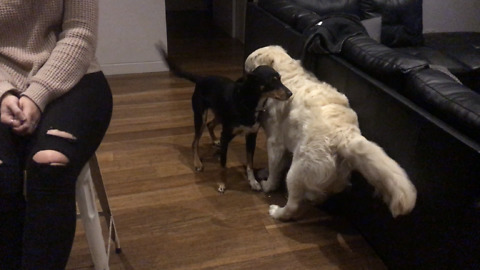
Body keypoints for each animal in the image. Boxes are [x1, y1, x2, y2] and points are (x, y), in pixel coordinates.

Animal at [159, 47, 290, 193]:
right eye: (272, 81)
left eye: (280, 79)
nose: (290, 93)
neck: (248, 102)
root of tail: (201, 79)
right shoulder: (226, 135)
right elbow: (223, 165)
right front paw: (222, 184)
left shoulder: (251, 136)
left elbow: (250, 163)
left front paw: (253, 182)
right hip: (200, 117)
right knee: (195, 141)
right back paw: (197, 162)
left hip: (219, 114)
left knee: (210, 124)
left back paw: (215, 141)